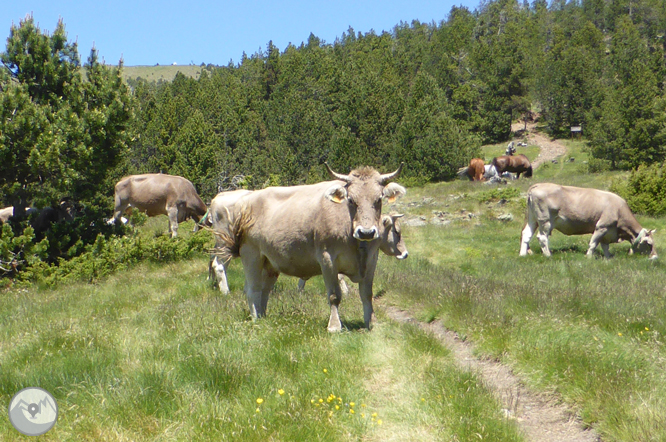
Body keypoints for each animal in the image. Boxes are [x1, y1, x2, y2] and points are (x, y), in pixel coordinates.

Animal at [217, 164, 404, 330]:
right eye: (351, 200)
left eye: (379, 199)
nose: (366, 232)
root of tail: (245, 200)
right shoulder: (327, 258)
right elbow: (334, 295)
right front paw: (334, 326)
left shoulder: (372, 259)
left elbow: (367, 294)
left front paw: (372, 323)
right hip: (251, 254)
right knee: (252, 289)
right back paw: (256, 319)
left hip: (269, 262)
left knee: (265, 289)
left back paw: (263, 316)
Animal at [520, 183, 652, 258]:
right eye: (649, 244)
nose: (654, 257)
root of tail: (538, 185)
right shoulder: (602, 226)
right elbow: (593, 243)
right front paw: (588, 256)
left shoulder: (608, 230)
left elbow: (604, 245)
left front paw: (609, 256)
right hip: (545, 221)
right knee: (542, 237)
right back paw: (548, 255)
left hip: (533, 219)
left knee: (526, 234)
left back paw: (523, 254)